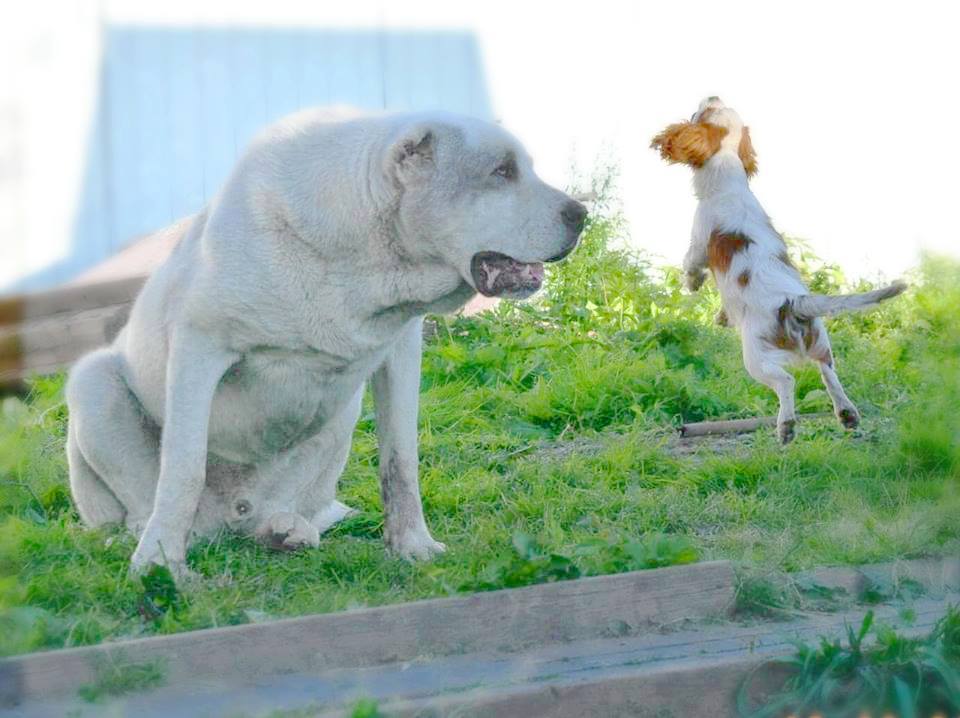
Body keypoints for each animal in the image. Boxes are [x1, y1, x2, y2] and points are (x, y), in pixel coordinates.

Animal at [67, 109, 584, 584]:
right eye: (501, 172)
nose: (581, 214)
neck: (362, 254)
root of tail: (231, 520)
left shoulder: (401, 351)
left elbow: (400, 460)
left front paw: (412, 546)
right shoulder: (199, 346)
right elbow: (183, 466)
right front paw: (158, 563)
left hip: (342, 414)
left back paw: (285, 530)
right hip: (92, 383)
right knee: (145, 504)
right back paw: (155, 536)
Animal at [652, 95, 908, 444]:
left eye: (702, 112)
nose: (713, 95)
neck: (728, 176)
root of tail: (793, 302)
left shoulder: (699, 242)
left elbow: (691, 267)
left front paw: (692, 285)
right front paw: (722, 317)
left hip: (756, 357)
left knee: (787, 382)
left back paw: (786, 427)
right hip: (821, 343)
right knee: (829, 373)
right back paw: (847, 415)